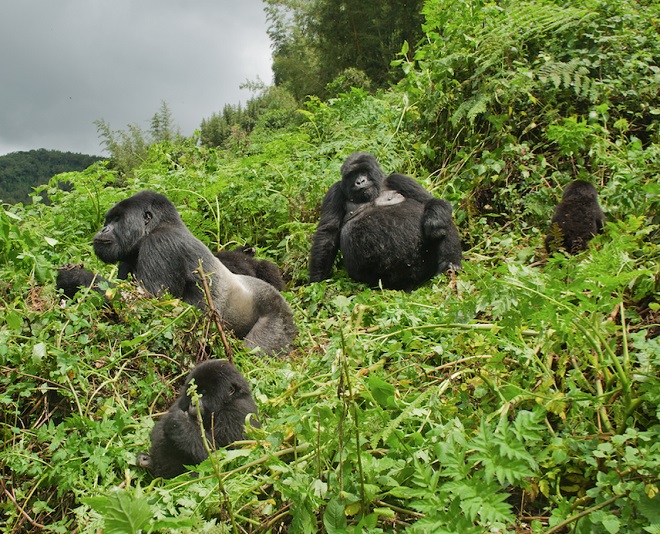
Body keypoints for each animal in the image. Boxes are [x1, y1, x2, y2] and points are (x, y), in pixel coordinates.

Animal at [308, 151, 458, 294]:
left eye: (364, 171)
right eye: (352, 174)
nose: (360, 181)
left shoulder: (399, 179)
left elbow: (430, 201)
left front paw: (434, 222)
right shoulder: (334, 192)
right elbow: (328, 233)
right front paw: (317, 280)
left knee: (441, 218)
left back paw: (450, 264)